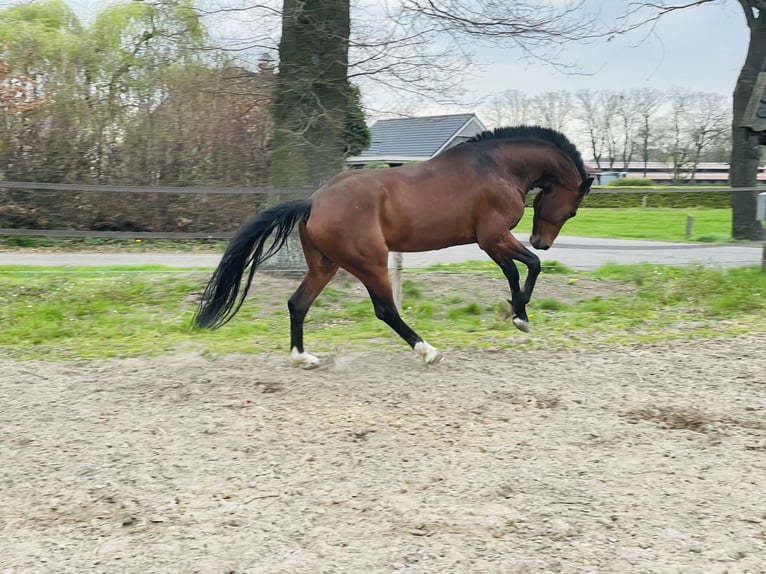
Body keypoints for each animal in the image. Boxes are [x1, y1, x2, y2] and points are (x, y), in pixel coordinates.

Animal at [193, 125, 593, 368]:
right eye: (574, 209)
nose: (542, 242)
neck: (497, 168)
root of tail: (313, 202)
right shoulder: (493, 237)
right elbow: (527, 267)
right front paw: (520, 316)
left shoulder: (491, 243)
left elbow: (515, 270)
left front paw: (512, 310)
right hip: (370, 263)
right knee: (386, 310)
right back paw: (427, 350)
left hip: (325, 265)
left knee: (298, 304)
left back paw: (302, 358)